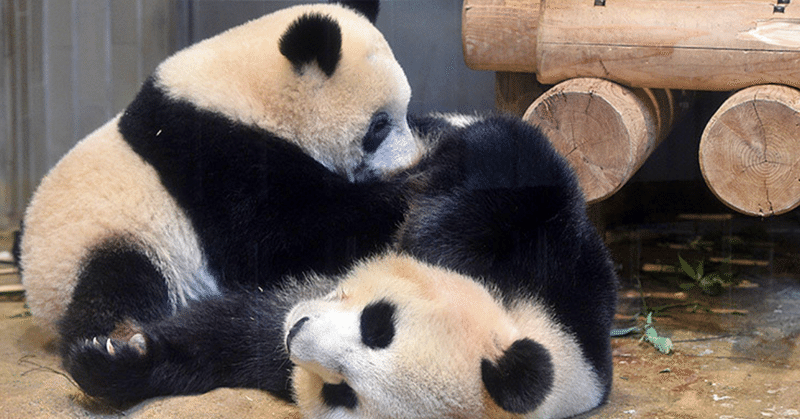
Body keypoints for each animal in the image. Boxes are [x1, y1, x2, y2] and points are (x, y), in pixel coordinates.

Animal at [21, 0, 424, 404]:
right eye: (379, 125)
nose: (407, 160)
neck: (249, 93)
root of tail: (36, 294)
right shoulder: (213, 156)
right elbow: (278, 237)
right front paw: (407, 187)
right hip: (103, 240)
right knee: (117, 282)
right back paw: (116, 343)